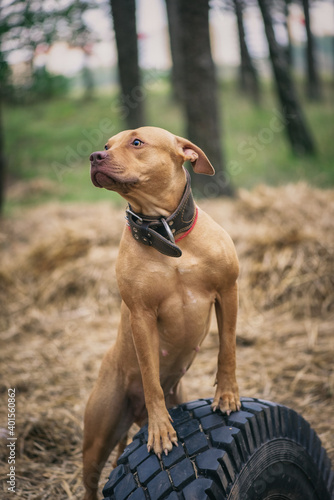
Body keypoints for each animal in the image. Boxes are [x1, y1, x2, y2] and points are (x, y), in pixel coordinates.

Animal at [83, 127, 240, 498]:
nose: (95, 156)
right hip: (98, 436)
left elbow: (227, 349)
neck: (167, 233)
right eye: (108, 145)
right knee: (91, 478)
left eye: (137, 142)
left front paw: (227, 394)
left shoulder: (228, 291)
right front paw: (160, 429)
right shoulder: (141, 315)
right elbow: (151, 378)